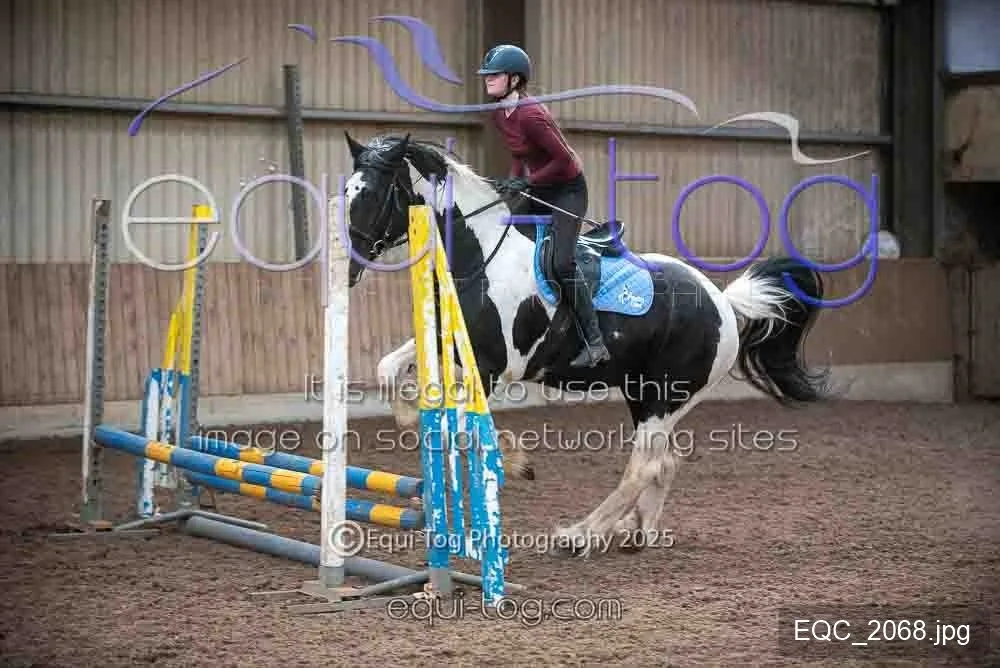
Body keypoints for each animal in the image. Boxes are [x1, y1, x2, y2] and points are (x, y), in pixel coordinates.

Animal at [340, 131, 831, 556]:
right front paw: (412, 427)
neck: (478, 258)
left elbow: (457, 429)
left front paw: (514, 464)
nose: (352, 266)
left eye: (370, 193)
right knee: (665, 462)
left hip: (663, 397)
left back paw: (582, 534)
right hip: (644, 394)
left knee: (644, 467)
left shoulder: (494, 367)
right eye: (346, 191)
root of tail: (724, 303)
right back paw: (637, 531)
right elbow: (389, 370)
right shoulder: (451, 347)